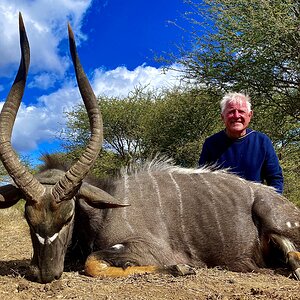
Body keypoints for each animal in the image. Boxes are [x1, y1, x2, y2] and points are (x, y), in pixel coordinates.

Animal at [0, 12, 300, 282]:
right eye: (28, 217)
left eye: (68, 215)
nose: (44, 273)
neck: (107, 207)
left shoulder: (149, 249)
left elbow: (92, 262)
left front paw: (182, 267)